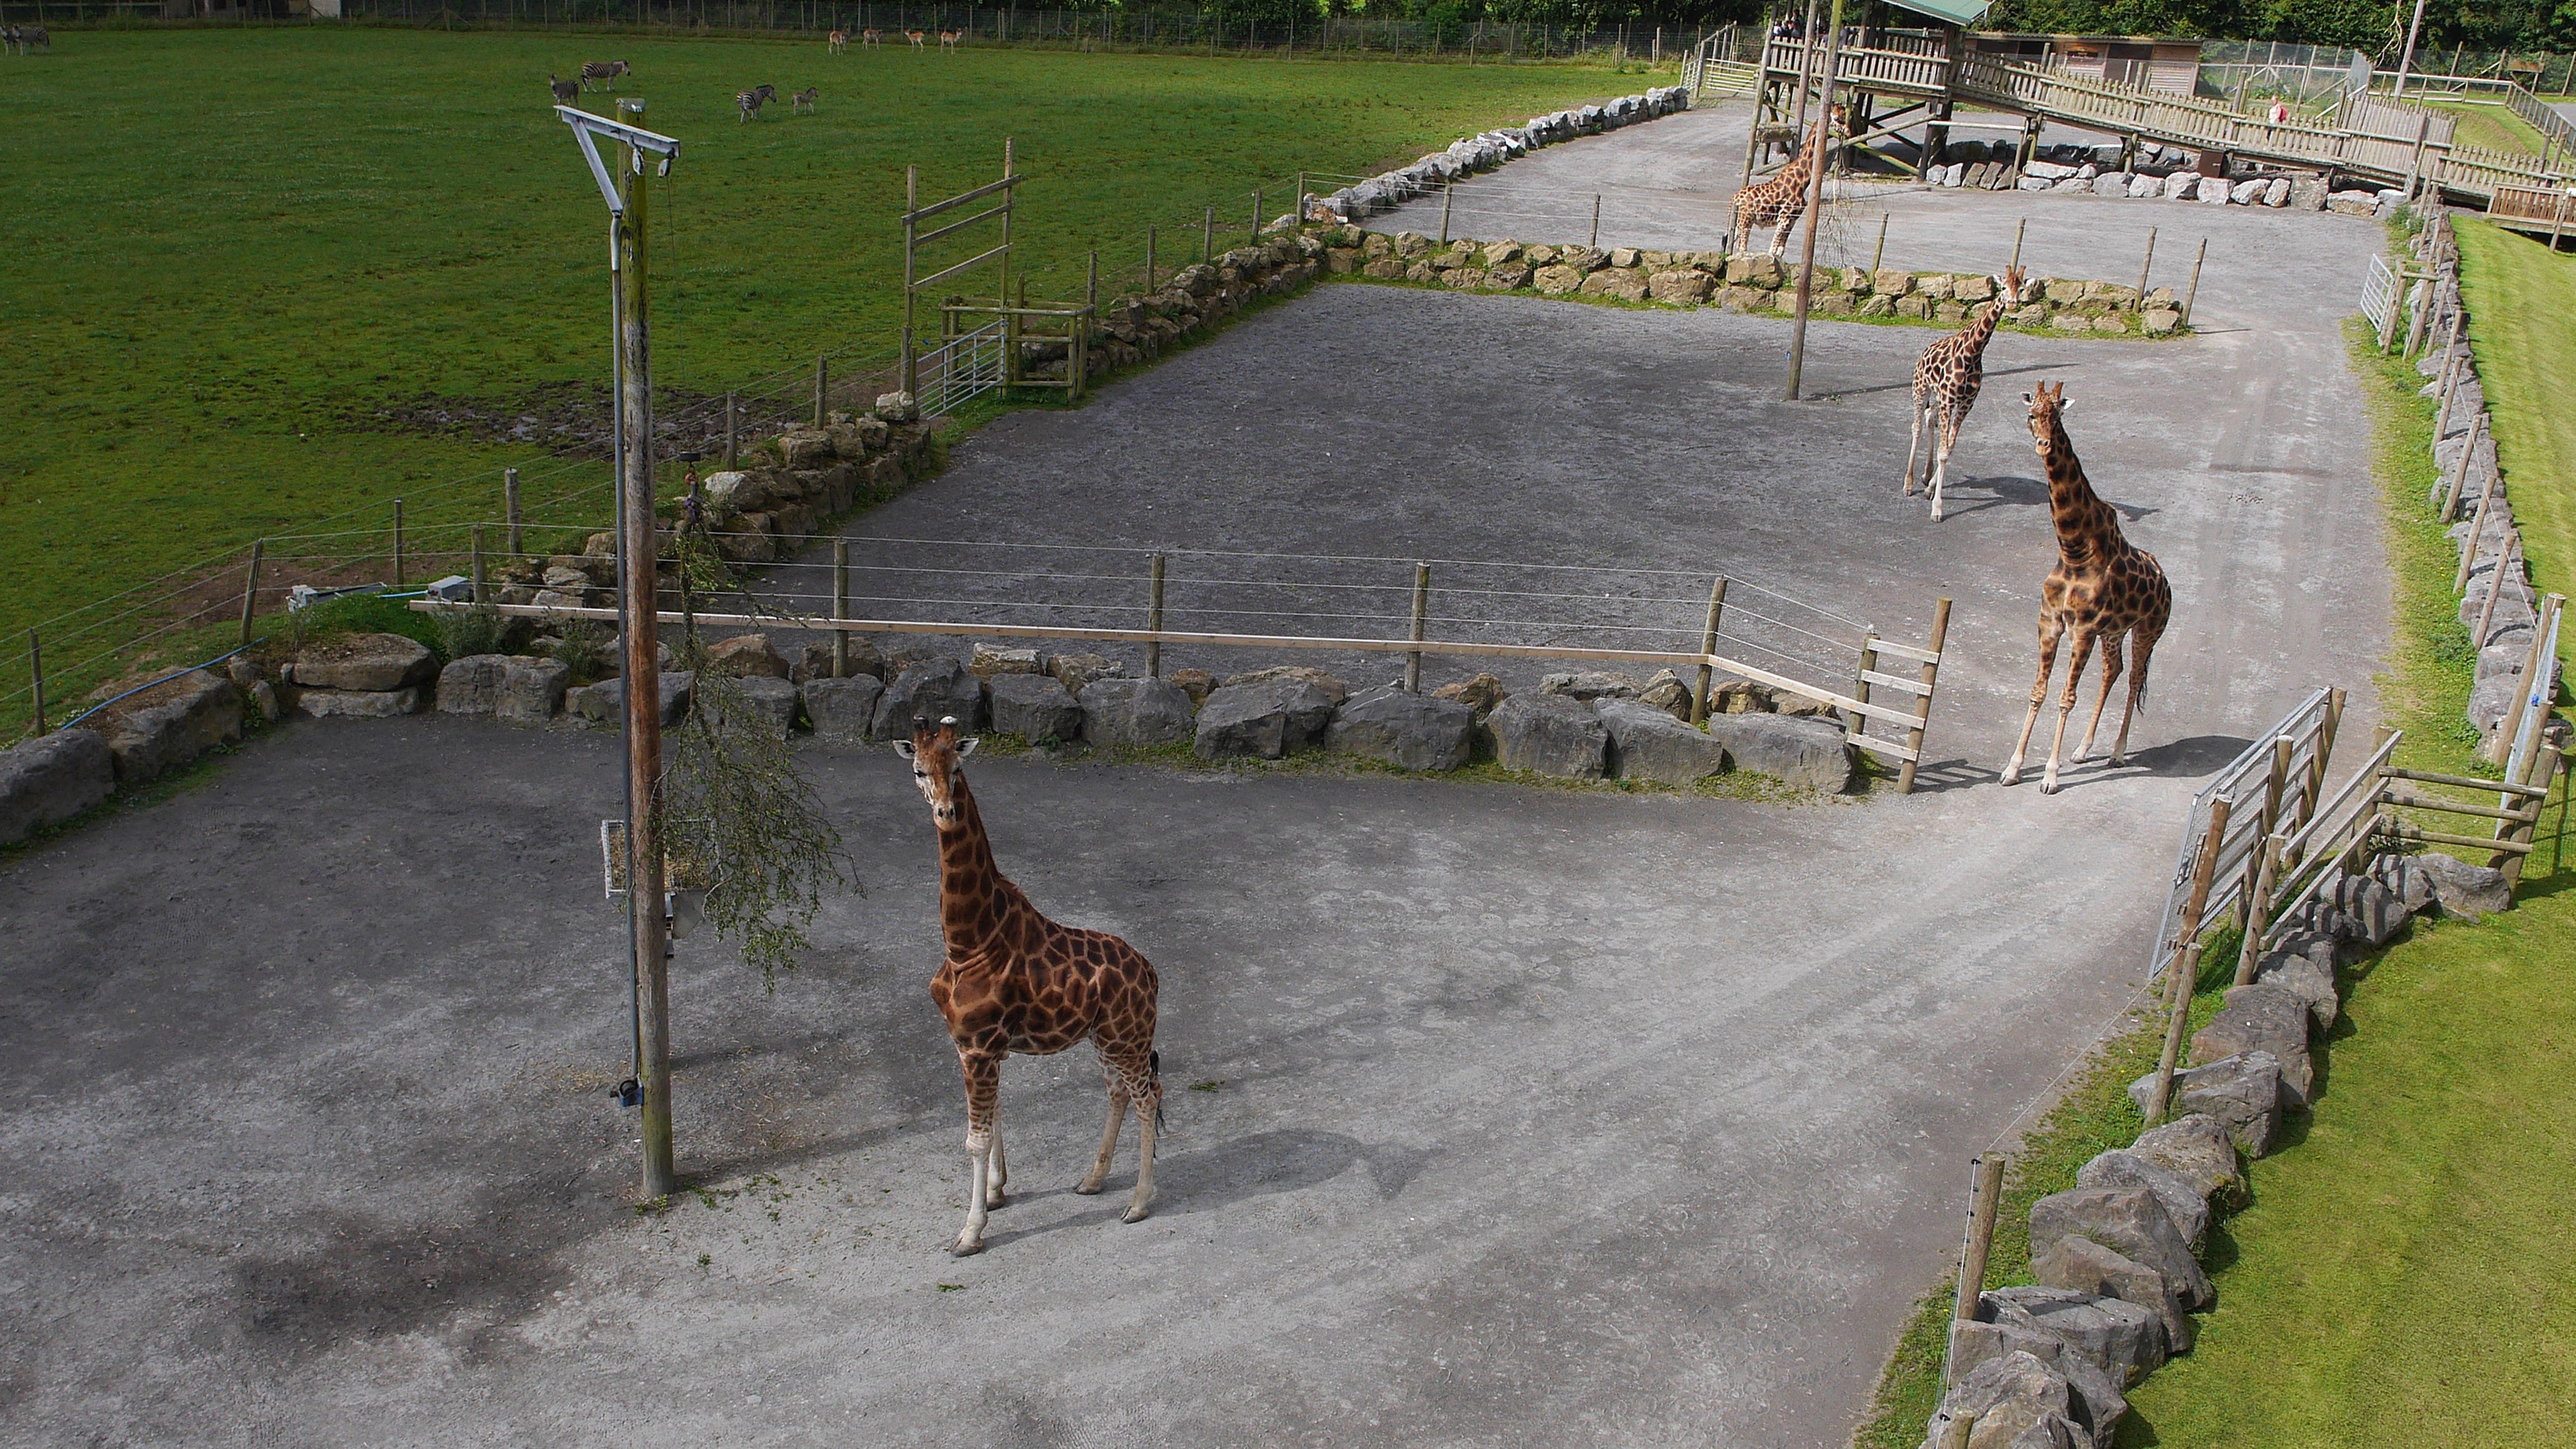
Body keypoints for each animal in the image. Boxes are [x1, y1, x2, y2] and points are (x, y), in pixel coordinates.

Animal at [895, 715, 1165, 1256]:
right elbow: (995, 1114)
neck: (966, 942)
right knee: (1119, 1093)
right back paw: (1092, 1180)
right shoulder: (973, 1046)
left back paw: (1138, 1203)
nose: (945, 813)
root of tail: (1150, 973)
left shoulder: (978, 1046)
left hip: (1127, 1037)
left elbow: (974, 1138)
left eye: (957, 767)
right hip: (1106, 1038)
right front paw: (997, 1192)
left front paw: (970, 1232)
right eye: (918, 770)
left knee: (1148, 1097)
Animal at [1732, 103, 1844, 259]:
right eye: (1837, 118)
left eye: (1844, 115)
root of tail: (1735, 198)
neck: (1802, 182)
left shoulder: (1793, 219)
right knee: (1742, 247)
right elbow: (1772, 251)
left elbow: (1780, 251)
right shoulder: (1784, 217)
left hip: (1741, 220)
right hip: (1746, 218)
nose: (1847, 131)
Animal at [1902, 265, 2029, 522]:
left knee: (1930, 419)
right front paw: (1938, 510)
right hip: (1921, 388)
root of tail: (1924, 352)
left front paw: (1931, 488)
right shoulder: (1949, 400)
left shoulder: (1966, 404)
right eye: (2003, 287)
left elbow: (1949, 449)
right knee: (1917, 426)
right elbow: (1943, 451)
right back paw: (1908, 485)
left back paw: (1925, 476)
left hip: (1938, 398)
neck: (1973, 353)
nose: (2012, 303)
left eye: (2021, 288)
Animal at [2004, 384, 2174, 793]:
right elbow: (2038, 692)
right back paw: (2082, 749)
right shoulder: (2050, 622)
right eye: (2032, 414)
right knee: (2113, 670)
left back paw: (2117, 753)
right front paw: (2013, 768)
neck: (2073, 549)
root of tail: (2166, 582)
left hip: (2148, 630)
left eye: (2057, 417)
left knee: (2134, 678)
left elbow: (2066, 698)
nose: (2044, 444)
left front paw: (2050, 777)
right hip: (2113, 632)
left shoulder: (2081, 629)